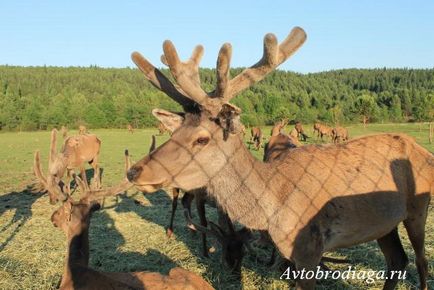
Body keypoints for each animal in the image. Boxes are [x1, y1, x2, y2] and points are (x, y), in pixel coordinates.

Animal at [128, 27, 434, 290]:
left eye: (201, 138)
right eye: (175, 131)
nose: (134, 172)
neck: (274, 207)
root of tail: (423, 151)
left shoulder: (310, 248)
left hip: (419, 206)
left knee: (420, 260)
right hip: (384, 223)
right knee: (397, 260)